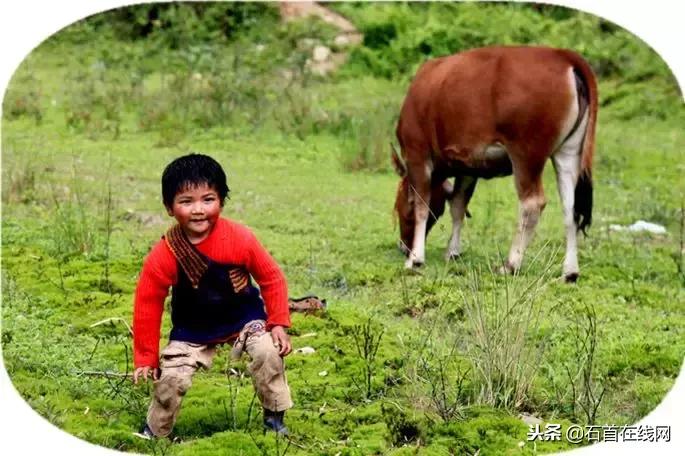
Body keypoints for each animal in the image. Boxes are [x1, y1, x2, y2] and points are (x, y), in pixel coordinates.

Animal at [392, 47, 596, 282]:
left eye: (399, 207)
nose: (403, 247)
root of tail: (562, 55)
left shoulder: (417, 153)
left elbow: (421, 205)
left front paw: (415, 258)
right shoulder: (467, 165)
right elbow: (458, 205)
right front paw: (452, 251)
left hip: (525, 155)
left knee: (532, 204)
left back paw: (511, 264)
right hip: (569, 153)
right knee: (570, 209)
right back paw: (570, 271)